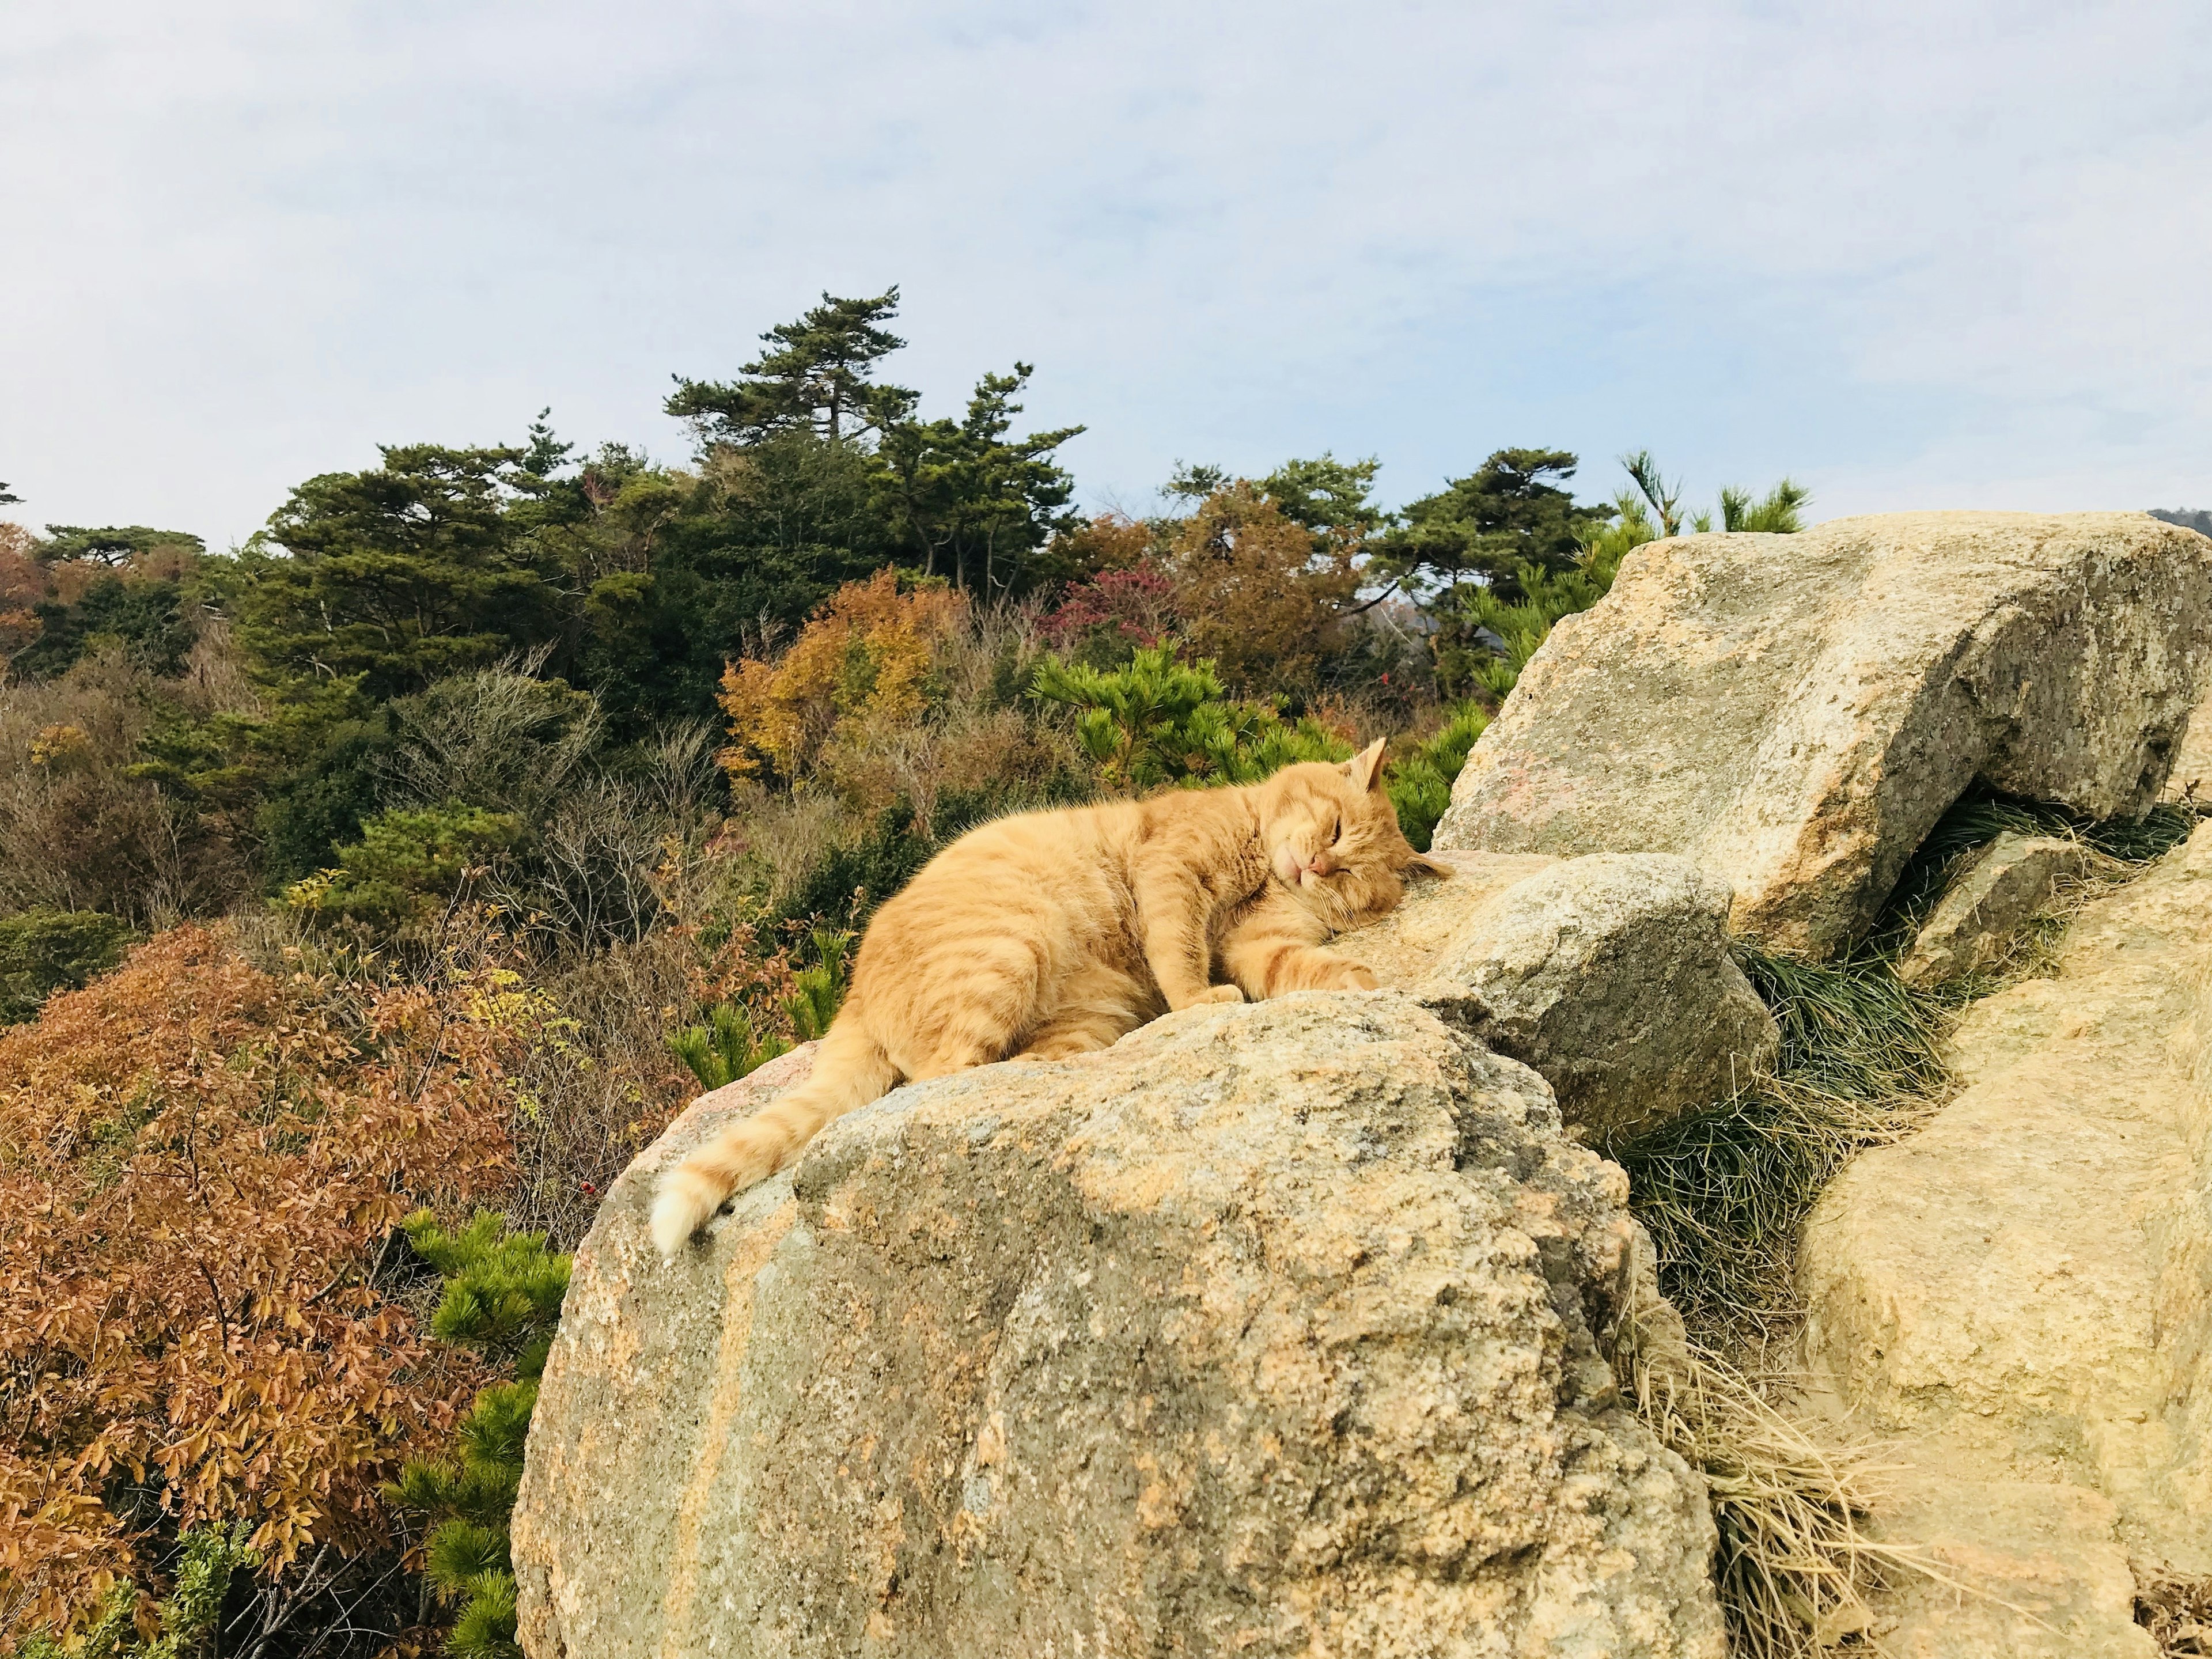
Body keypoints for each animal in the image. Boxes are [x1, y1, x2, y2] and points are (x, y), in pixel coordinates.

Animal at [646, 738, 1442, 1256]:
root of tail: (853, 997)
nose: (1316, 868)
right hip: (1011, 947)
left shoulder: (1257, 945)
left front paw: (1364, 985)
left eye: (1351, 873)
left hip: (1087, 1016)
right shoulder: (1173, 872)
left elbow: (1301, 969)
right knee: (941, 1079)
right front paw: (1198, 1001)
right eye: (1334, 829)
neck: (1258, 856)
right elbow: (1179, 952)